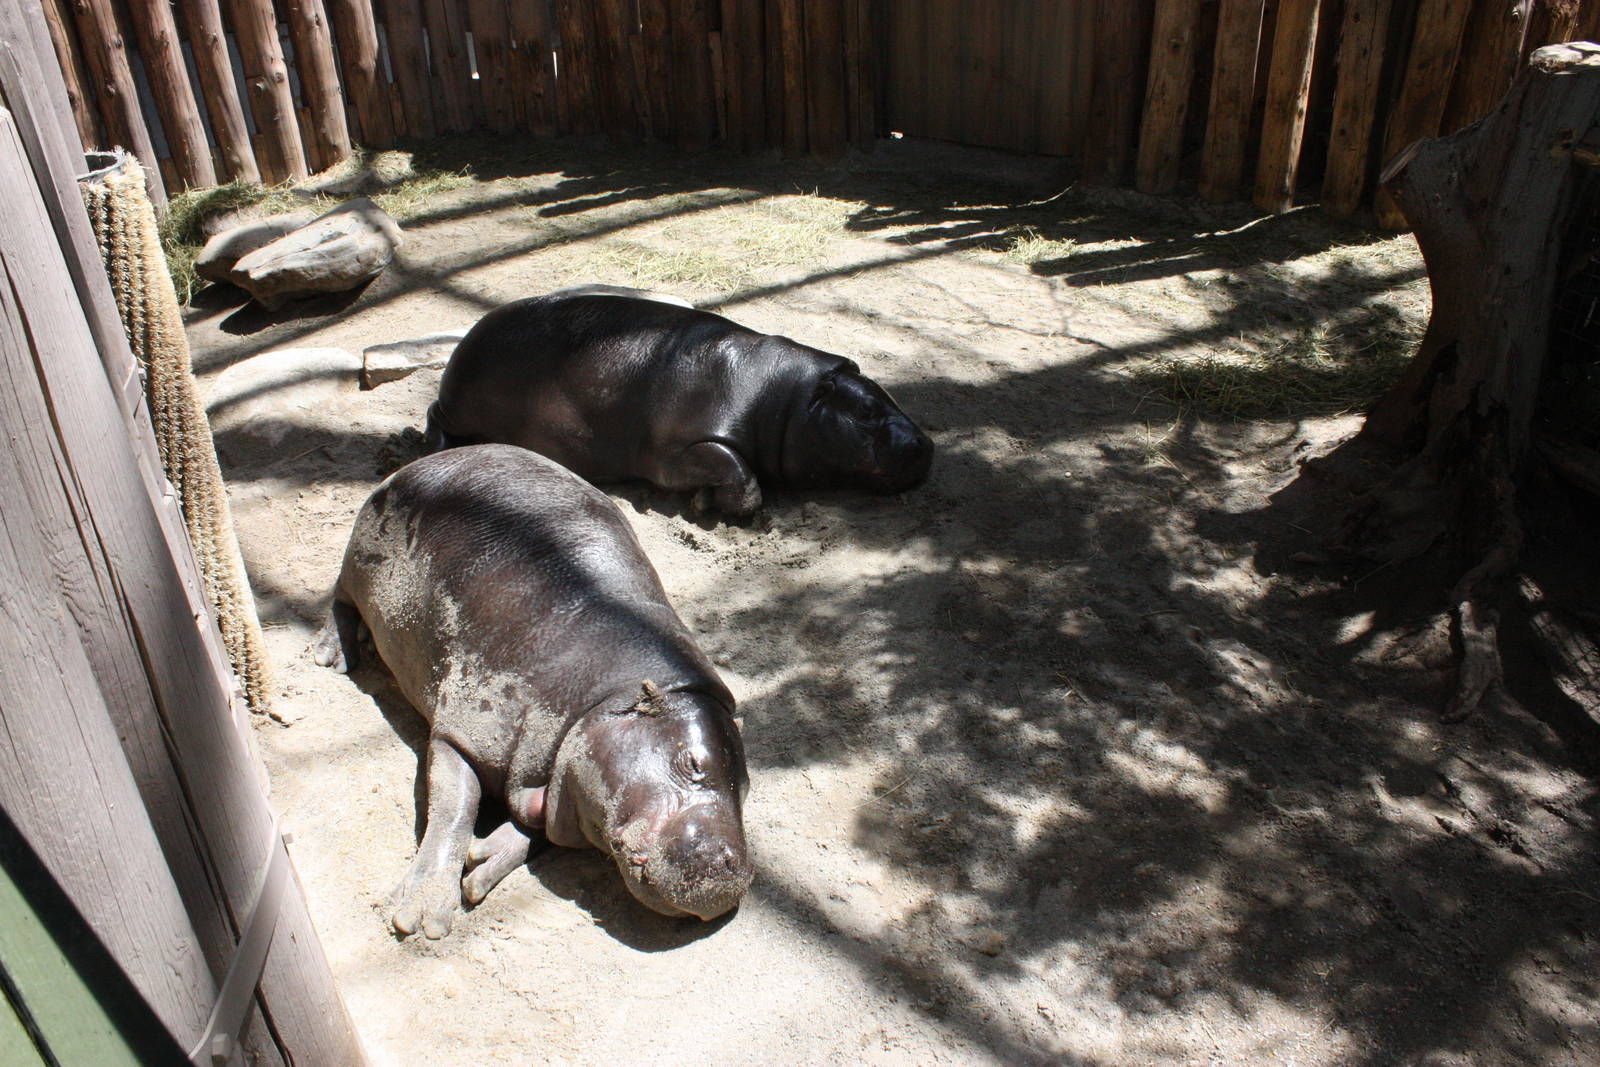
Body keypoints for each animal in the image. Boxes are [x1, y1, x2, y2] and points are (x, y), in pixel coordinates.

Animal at [313, 444, 752, 938]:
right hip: (359, 559)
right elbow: (455, 808)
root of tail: (421, 463)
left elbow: (540, 823)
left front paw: (483, 860)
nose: (732, 876)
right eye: (693, 763)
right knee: (339, 597)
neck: (606, 697)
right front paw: (423, 919)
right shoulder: (463, 730)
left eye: (746, 787)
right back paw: (333, 655)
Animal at [425, 290, 934, 517]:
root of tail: (471, 332)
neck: (788, 397)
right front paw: (705, 505)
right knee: (434, 414)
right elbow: (741, 476)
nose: (926, 444)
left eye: (887, 393)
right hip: (460, 404)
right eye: (866, 410)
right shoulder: (685, 446)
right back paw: (438, 448)